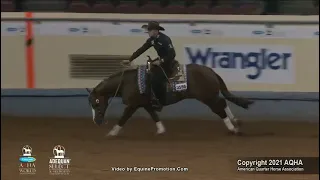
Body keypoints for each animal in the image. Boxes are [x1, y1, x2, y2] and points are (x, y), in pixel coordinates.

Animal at [86, 56, 254, 136]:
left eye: (96, 102)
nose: (96, 121)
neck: (128, 82)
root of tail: (210, 71)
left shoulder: (132, 105)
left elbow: (123, 118)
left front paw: (112, 133)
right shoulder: (145, 103)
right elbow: (154, 115)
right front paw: (161, 130)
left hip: (207, 97)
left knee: (219, 108)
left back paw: (233, 128)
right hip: (210, 96)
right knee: (223, 102)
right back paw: (235, 122)